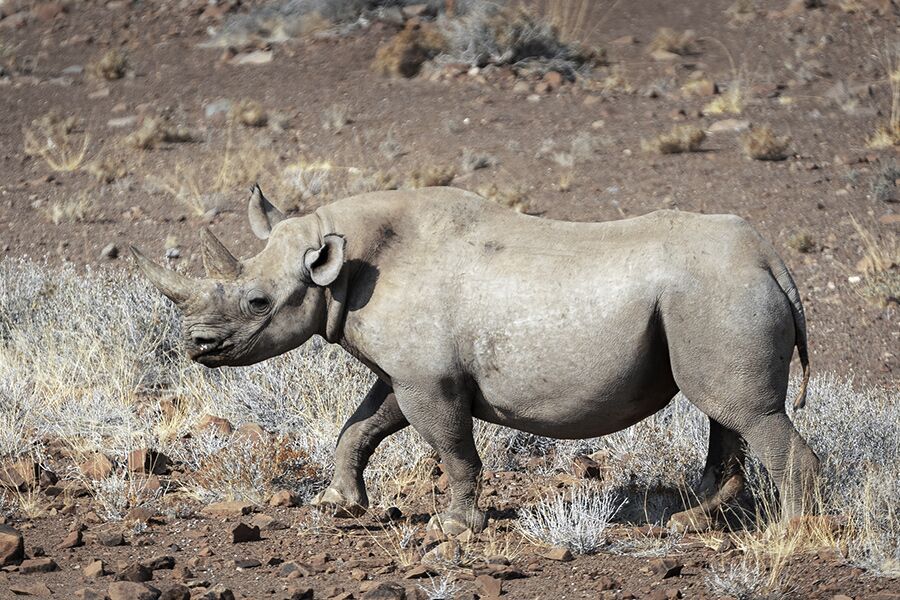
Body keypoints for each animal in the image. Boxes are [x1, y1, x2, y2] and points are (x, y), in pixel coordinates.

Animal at [132, 185, 820, 534]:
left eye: (256, 302)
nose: (196, 346)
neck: (342, 263)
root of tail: (773, 261)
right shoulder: (406, 372)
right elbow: (361, 426)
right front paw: (338, 505)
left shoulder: (430, 380)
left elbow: (452, 448)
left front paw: (454, 529)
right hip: (711, 295)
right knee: (726, 412)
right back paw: (688, 523)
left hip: (717, 294)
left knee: (746, 412)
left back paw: (787, 536)